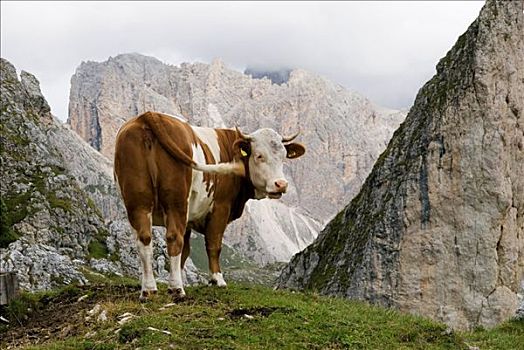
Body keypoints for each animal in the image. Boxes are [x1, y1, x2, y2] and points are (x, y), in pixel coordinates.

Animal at [112, 110, 304, 300]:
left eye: (283, 157)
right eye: (259, 156)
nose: (281, 184)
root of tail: (149, 115)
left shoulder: (188, 219)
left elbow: (186, 251)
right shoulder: (221, 207)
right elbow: (213, 245)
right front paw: (217, 280)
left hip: (138, 200)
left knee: (144, 238)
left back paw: (149, 290)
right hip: (176, 201)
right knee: (173, 237)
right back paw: (177, 289)